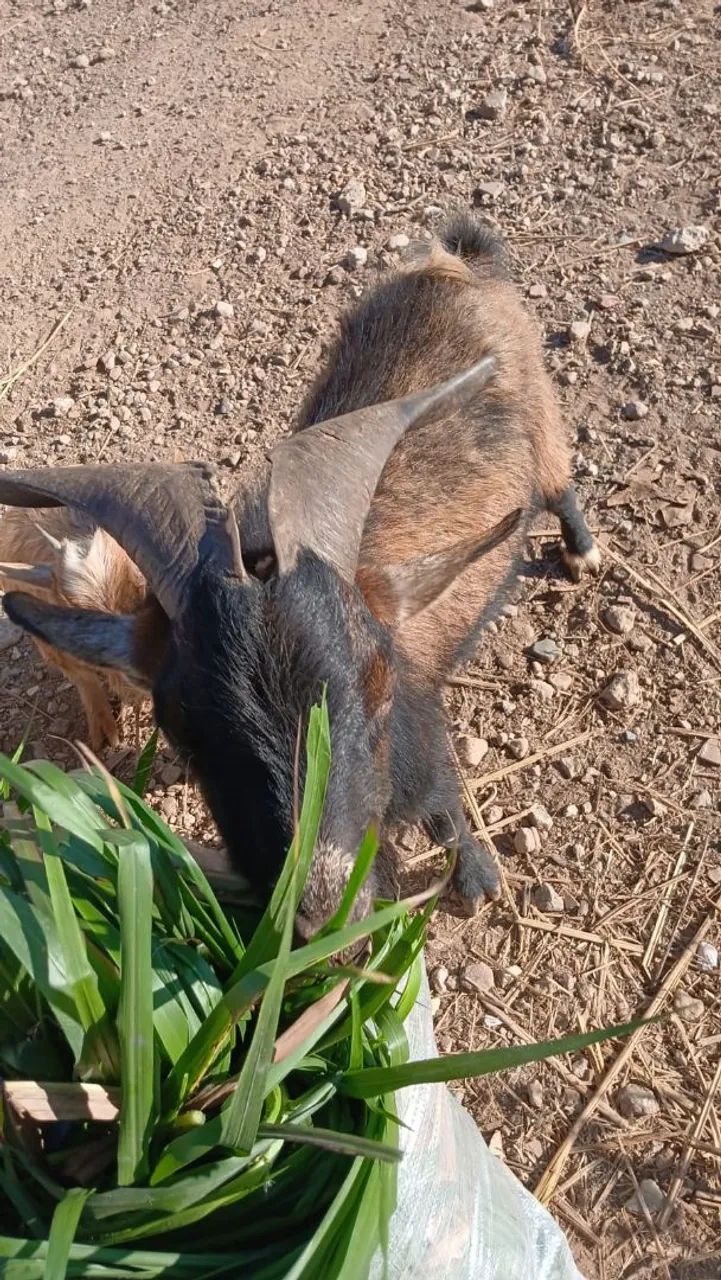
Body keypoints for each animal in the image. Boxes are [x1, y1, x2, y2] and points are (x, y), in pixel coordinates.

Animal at [0, 215, 598, 934]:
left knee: (560, 487)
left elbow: (444, 807)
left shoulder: (422, 730)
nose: (318, 914)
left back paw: (582, 551)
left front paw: (477, 879)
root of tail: (454, 260)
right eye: (182, 731)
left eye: (378, 686)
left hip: (544, 421)